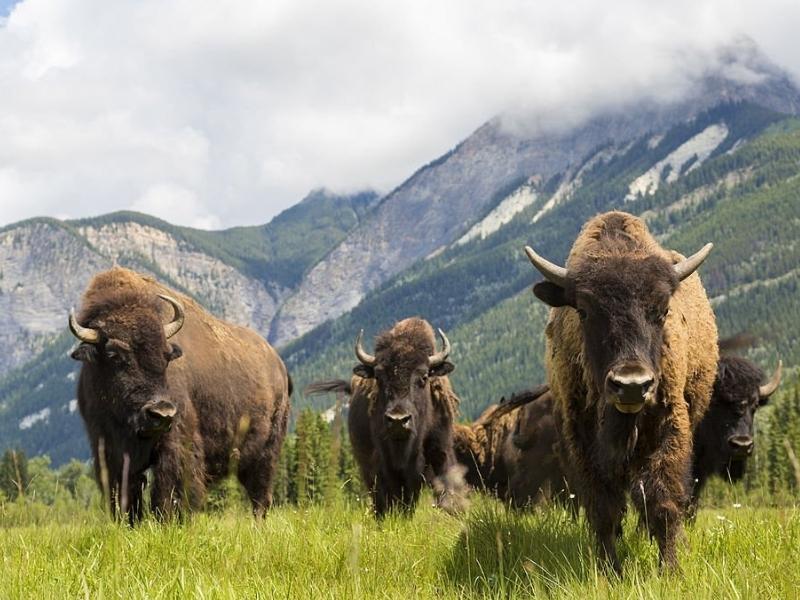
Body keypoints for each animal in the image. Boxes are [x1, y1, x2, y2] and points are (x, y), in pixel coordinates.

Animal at [69, 268, 292, 520]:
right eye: (113, 354)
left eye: (166, 355)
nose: (161, 412)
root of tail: (279, 365)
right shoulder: (109, 448)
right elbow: (126, 493)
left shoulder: (175, 442)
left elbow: (169, 490)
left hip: (266, 452)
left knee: (260, 496)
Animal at [524, 211, 720, 572]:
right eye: (584, 311)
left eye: (663, 310)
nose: (631, 385)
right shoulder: (582, 441)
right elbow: (604, 509)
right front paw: (609, 570)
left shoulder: (670, 429)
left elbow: (662, 502)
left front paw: (670, 570)